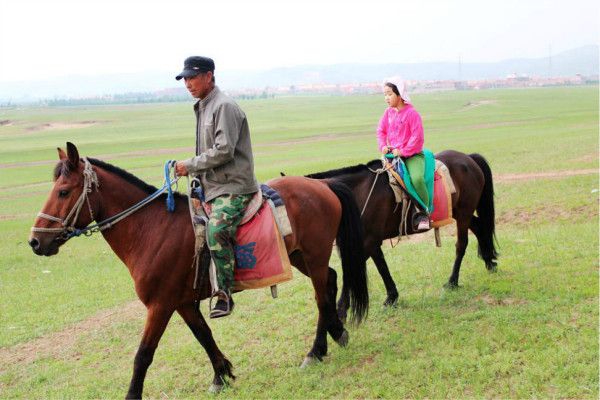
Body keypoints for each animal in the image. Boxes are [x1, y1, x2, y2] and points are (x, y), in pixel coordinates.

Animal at [29, 142, 370, 398]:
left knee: (321, 296)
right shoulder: (181, 303)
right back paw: (335, 334)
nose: (35, 241)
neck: (151, 229)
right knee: (330, 281)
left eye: (63, 191)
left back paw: (316, 350)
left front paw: (132, 394)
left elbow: (143, 354)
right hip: (301, 256)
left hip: (314, 254)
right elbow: (204, 335)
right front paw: (222, 375)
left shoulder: (160, 305)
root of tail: (322, 185)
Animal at [304, 152, 496, 320]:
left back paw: (453, 281)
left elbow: (350, 271)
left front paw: (341, 310)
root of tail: (468, 158)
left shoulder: (368, 241)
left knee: (461, 244)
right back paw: (490, 261)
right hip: (459, 213)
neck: (358, 193)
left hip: (463, 213)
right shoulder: (371, 241)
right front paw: (392, 297)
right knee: (480, 227)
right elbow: (382, 266)